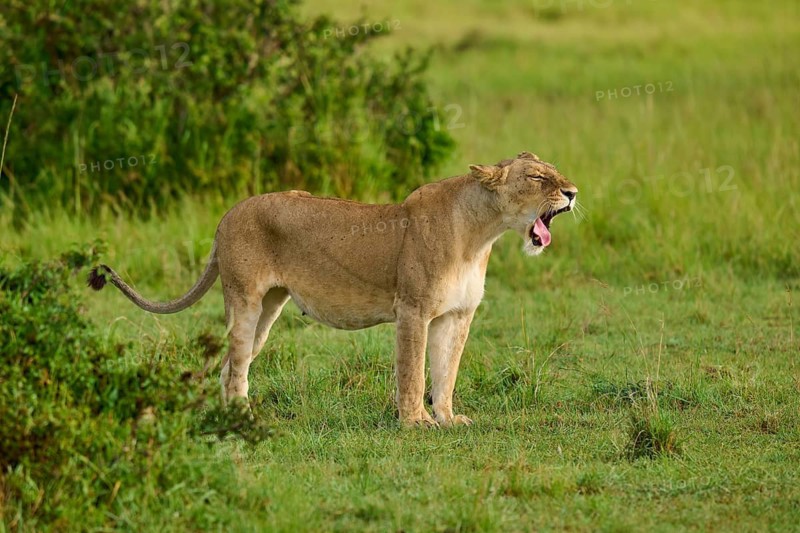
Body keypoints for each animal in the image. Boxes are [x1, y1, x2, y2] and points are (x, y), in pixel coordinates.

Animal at [88, 151, 578, 427]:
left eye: (555, 173)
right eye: (537, 178)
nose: (573, 192)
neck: (481, 234)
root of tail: (228, 213)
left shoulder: (457, 316)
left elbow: (446, 373)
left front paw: (448, 419)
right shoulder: (413, 310)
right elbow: (413, 371)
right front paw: (415, 423)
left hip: (269, 308)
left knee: (230, 365)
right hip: (245, 301)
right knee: (235, 363)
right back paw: (241, 417)